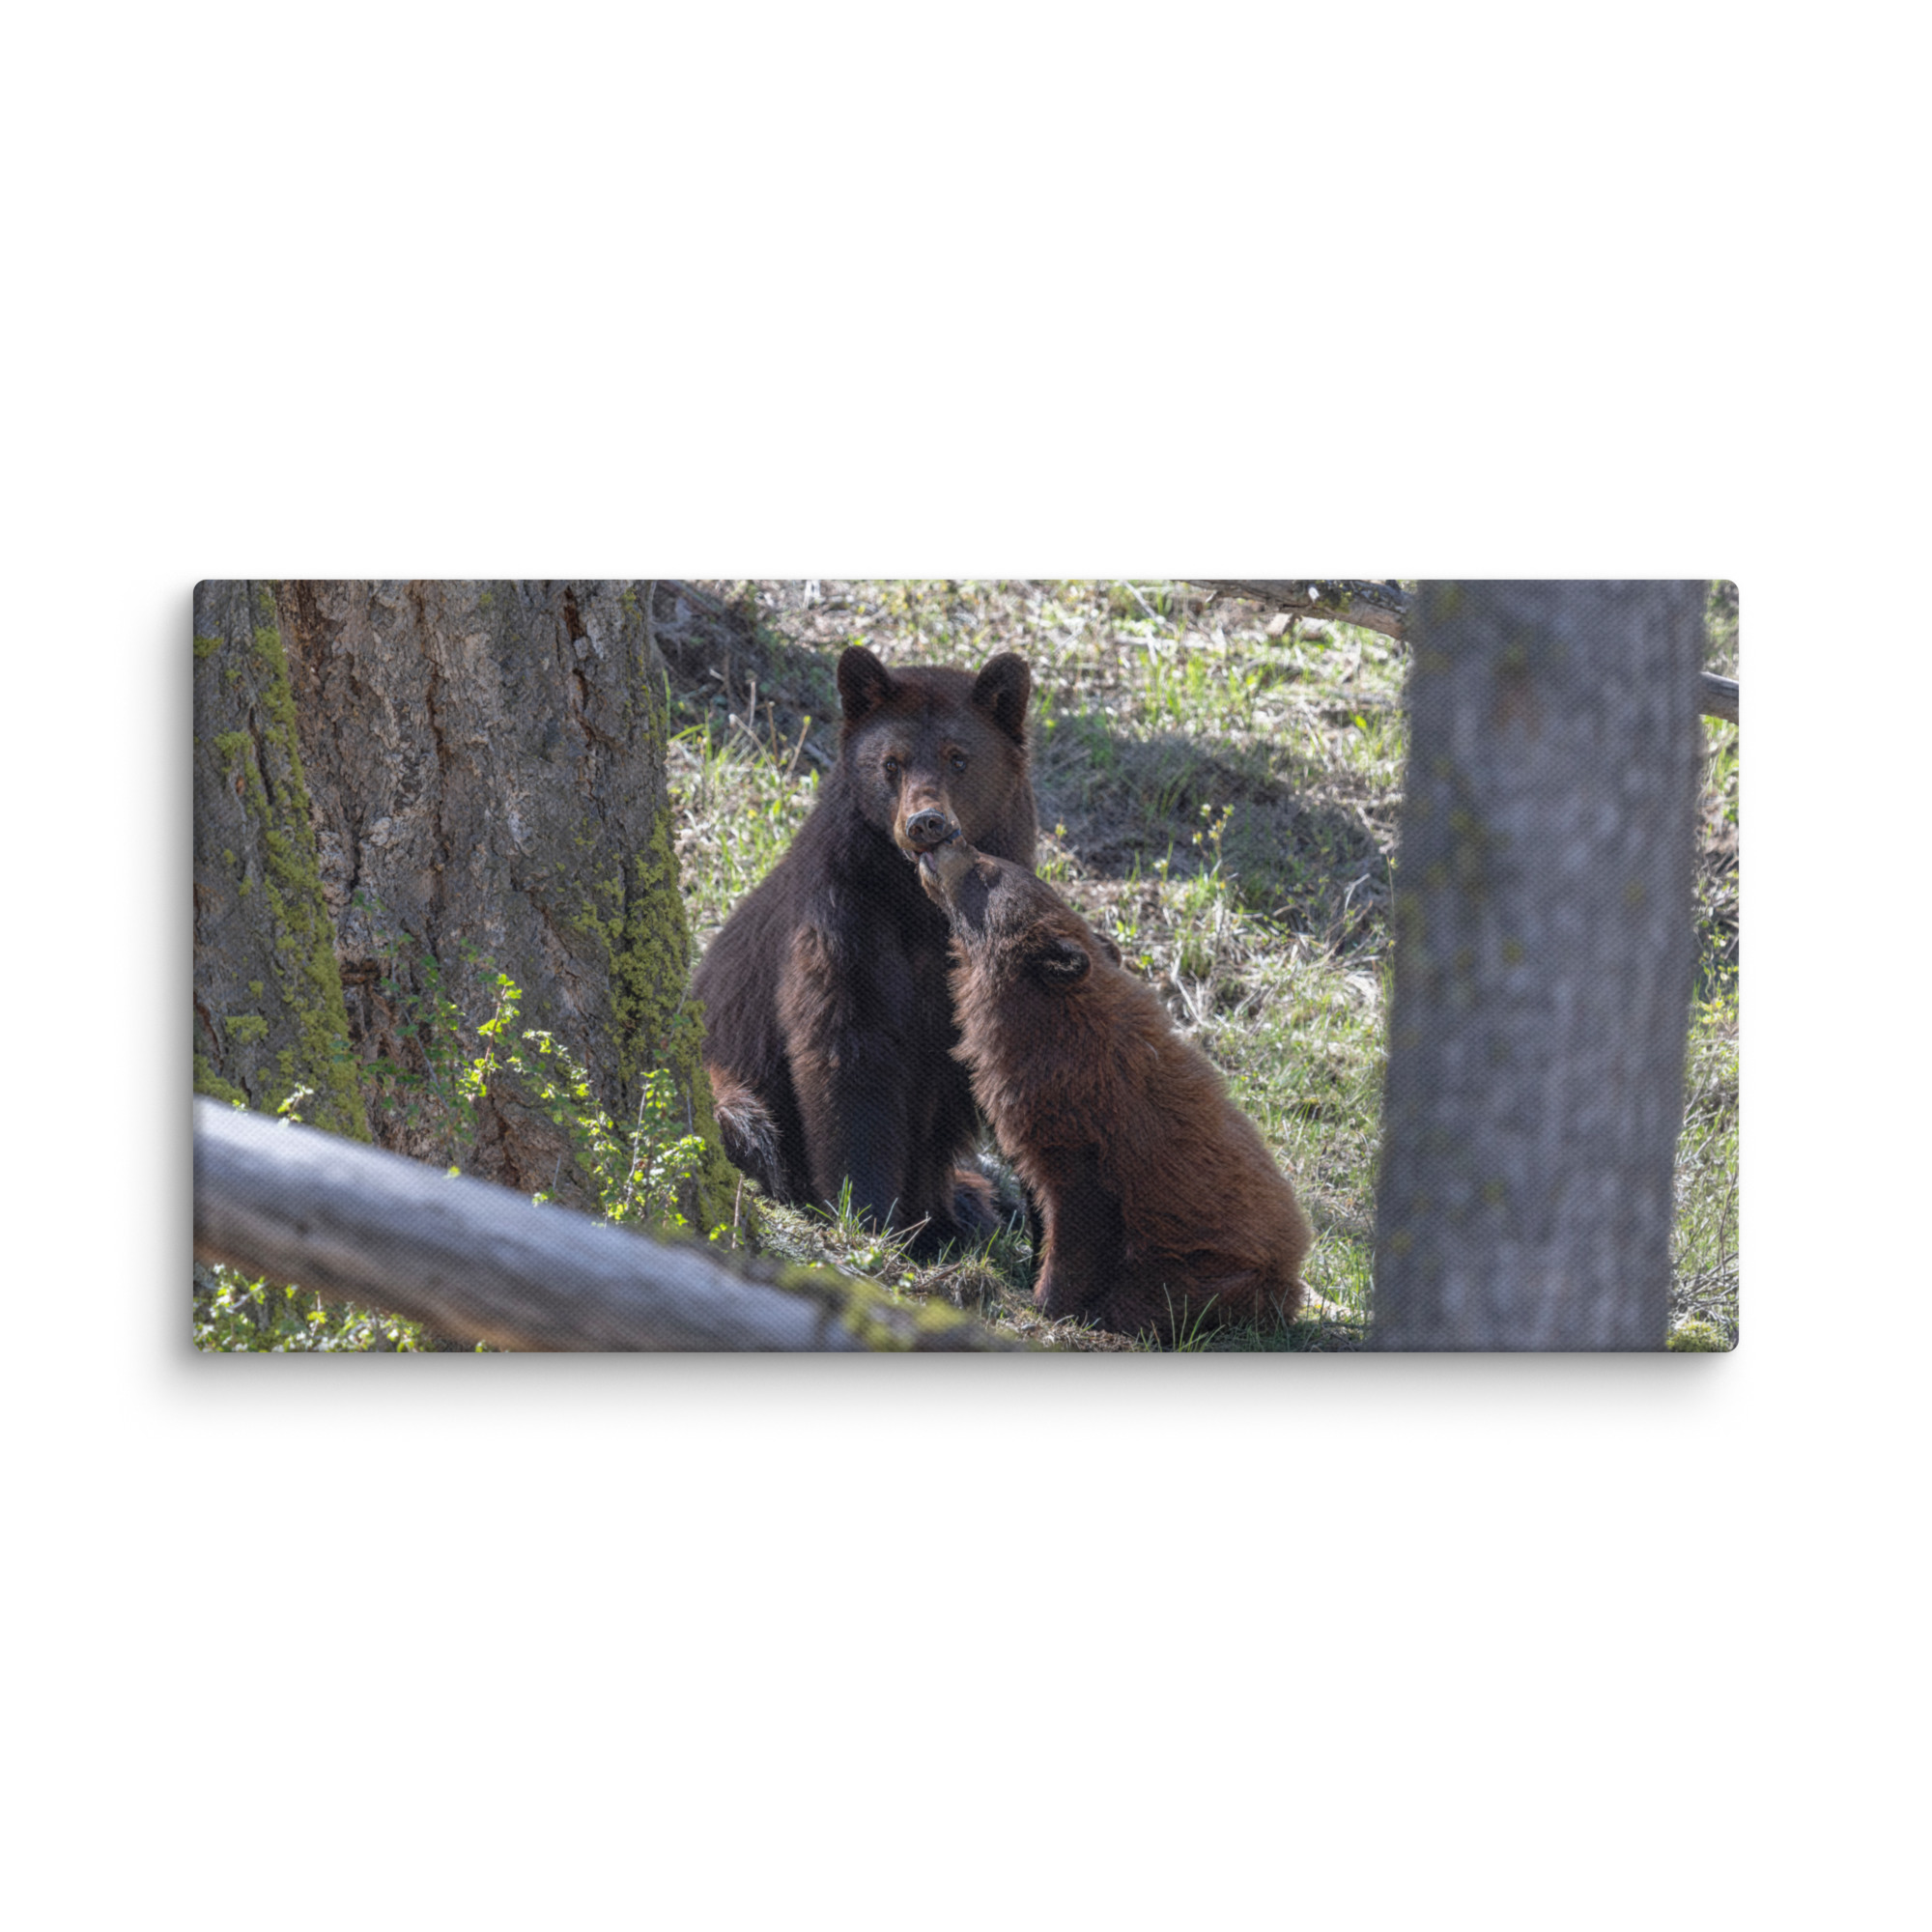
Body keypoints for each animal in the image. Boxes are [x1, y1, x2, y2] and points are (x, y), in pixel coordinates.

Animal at [691, 644, 1037, 1257]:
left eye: (959, 758)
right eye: (892, 763)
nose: (926, 822)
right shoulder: (843, 918)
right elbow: (848, 1053)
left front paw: (940, 1215)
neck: (919, 904)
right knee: (747, 1122)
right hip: (725, 1080)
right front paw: (870, 1214)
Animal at [916, 835, 1313, 1341]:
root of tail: (1292, 1273)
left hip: (1209, 1273)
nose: (951, 838)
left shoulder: (1086, 1132)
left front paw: (1047, 1301)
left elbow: (1079, 1222)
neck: (1050, 1027)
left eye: (987, 870)